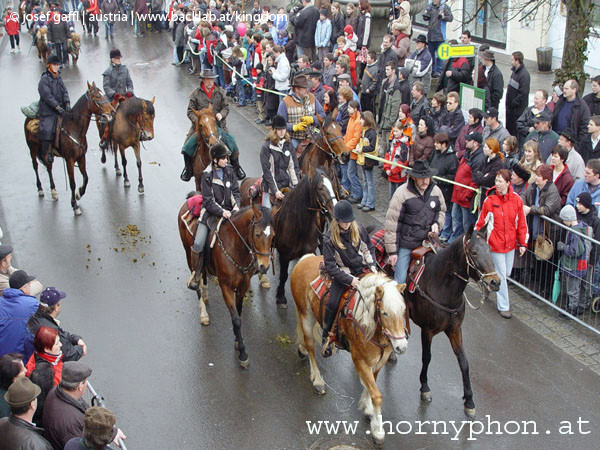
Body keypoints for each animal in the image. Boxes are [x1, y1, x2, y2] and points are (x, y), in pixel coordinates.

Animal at [24, 82, 114, 216]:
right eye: (97, 96)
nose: (112, 111)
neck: (74, 128)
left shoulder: (81, 157)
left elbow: (86, 178)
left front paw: (79, 193)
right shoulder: (69, 160)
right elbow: (72, 183)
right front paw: (75, 205)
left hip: (46, 152)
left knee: (48, 167)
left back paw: (53, 191)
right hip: (32, 149)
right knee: (35, 166)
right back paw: (40, 189)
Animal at [176, 200, 274, 366]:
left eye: (273, 235)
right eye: (257, 234)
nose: (264, 267)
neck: (235, 247)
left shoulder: (243, 285)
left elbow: (239, 313)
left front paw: (237, 340)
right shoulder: (226, 287)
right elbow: (236, 319)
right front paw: (242, 353)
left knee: (203, 272)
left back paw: (206, 294)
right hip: (189, 253)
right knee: (196, 280)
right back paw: (203, 312)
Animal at [272, 167, 338, 308]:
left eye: (332, 185)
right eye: (320, 188)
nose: (336, 213)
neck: (298, 227)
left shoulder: (308, 251)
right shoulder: (284, 256)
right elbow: (283, 275)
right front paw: (281, 297)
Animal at [290, 253, 408, 446]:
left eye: (404, 310)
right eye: (384, 313)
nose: (401, 346)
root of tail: (305, 259)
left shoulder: (378, 361)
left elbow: (371, 386)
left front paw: (368, 410)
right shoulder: (359, 359)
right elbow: (377, 395)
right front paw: (378, 431)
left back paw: (304, 350)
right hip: (306, 314)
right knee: (310, 346)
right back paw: (317, 380)